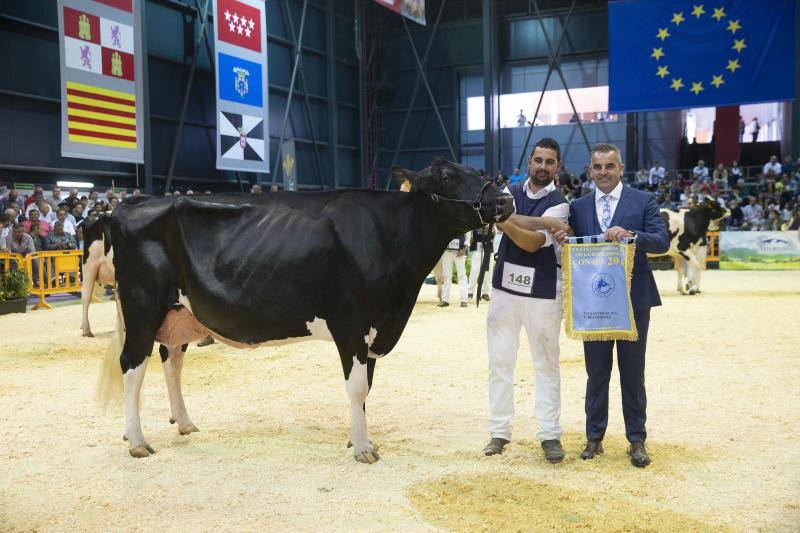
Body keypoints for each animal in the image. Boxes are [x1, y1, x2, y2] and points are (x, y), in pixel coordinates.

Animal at [97, 158, 514, 462]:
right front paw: (364, 449)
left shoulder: (374, 329)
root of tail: (131, 204)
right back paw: (138, 442)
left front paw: (358, 438)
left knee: (171, 361)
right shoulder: (351, 325)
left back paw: (183, 423)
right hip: (142, 306)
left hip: (179, 314)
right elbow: (357, 387)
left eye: (480, 173)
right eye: (448, 176)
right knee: (132, 365)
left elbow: (367, 389)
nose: (505, 201)